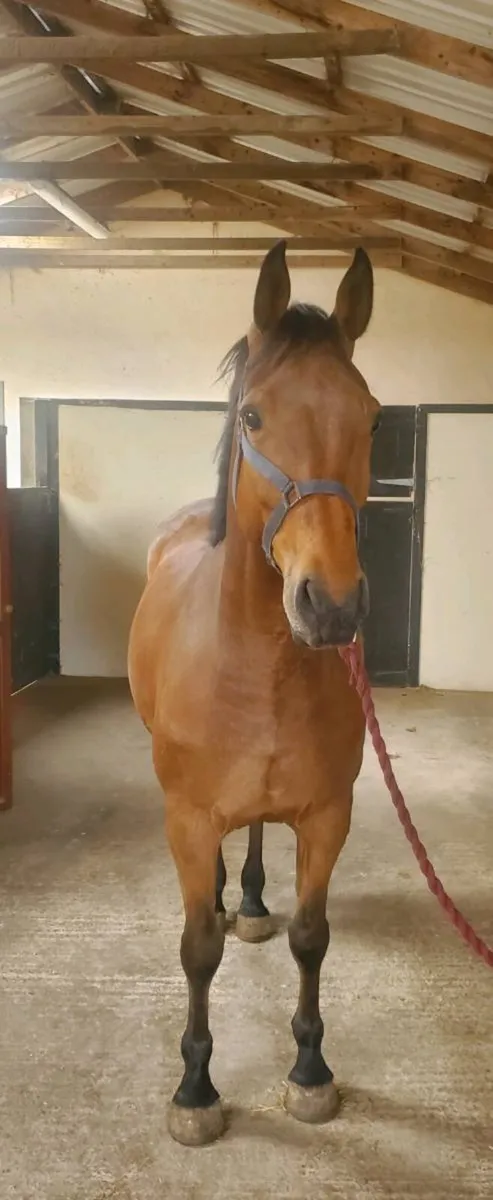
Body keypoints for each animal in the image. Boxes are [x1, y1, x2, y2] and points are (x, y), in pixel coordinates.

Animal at [128, 241, 381, 1146]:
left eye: (372, 418)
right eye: (254, 418)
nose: (329, 605)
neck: (257, 661)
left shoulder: (327, 813)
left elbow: (312, 937)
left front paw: (309, 1069)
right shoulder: (188, 818)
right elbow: (197, 949)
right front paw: (196, 1089)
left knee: (261, 839)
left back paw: (251, 898)